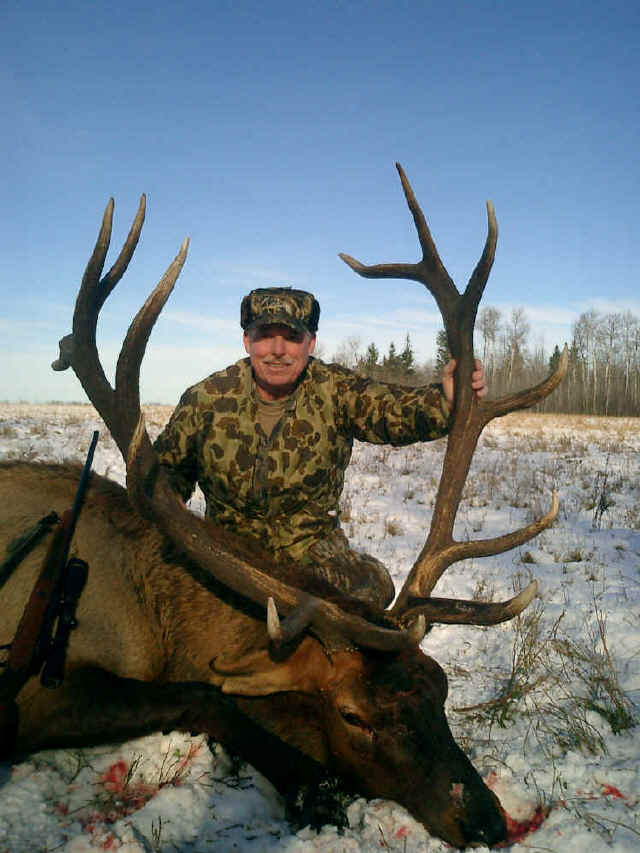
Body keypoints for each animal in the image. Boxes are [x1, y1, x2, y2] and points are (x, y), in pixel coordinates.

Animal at [0, 165, 567, 848]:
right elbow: (207, 696)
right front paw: (313, 790)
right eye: (353, 715)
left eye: (441, 690)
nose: (488, 821)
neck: (153, 619)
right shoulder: (36, 690)